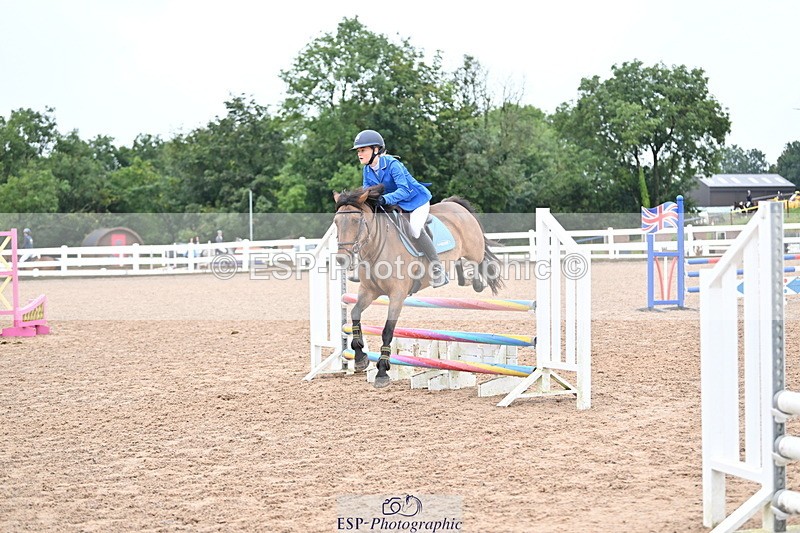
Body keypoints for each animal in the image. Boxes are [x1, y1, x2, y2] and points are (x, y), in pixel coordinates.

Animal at [332, 184, 504, 388]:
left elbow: (387, 331)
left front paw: (382, 372)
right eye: (336, 222)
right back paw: (463, 279)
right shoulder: (368, 292)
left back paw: (476, 281)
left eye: (356, 220)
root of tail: (454, 204)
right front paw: (360, 358)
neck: (376, 248)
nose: (342, 259)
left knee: (480, 262)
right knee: (461, 267)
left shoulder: (397, 295)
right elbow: (355, 314)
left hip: (474, 250)